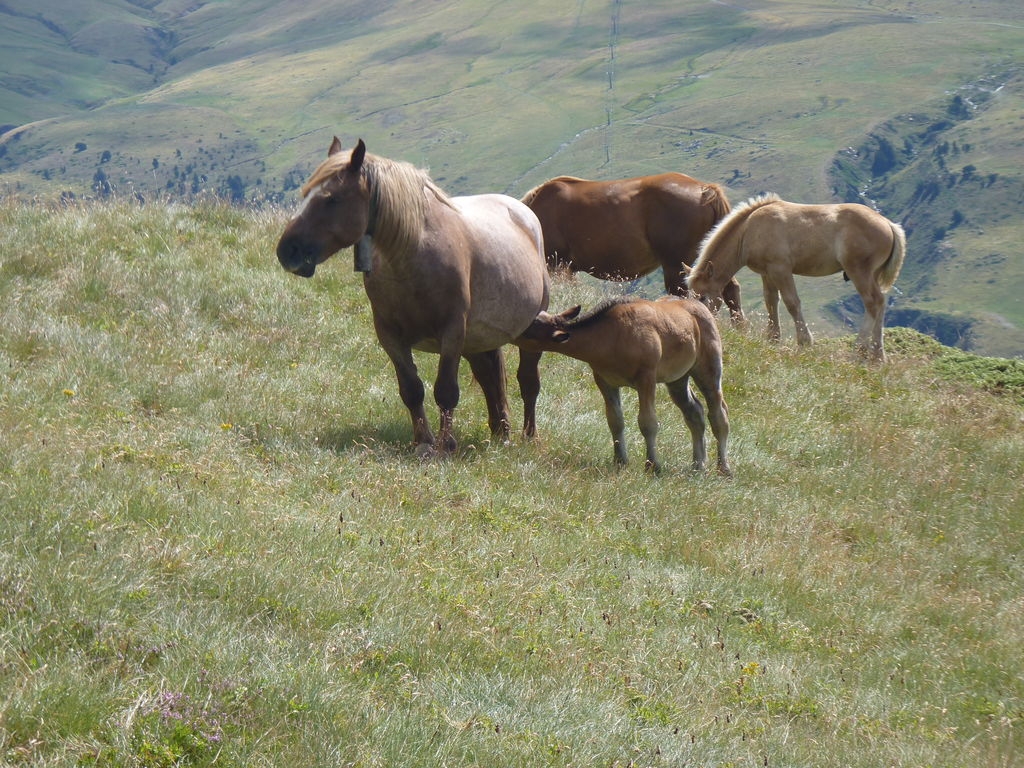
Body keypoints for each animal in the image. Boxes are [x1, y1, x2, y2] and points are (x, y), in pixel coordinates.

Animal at [276, 137, 550, 456]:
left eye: (331, 199)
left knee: (528, 382)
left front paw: (446, 445)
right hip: (478, 340)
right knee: (489, 378)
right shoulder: (389, 335)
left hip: (531, 331)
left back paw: (528, 436)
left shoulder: (452, 331)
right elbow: (411, 389)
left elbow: (446, 391)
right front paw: (423, 442)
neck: (413, 257)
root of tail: (524, 212)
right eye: (306, 194)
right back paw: (500, 432)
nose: (287, 251)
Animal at [515, 296, 730, 475]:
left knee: (718, 413)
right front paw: (620, 461)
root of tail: (702, 306)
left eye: (530, 329)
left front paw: (652, 465)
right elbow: (615, 421)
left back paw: (724, 468)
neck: (610, 339)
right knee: (695, 412)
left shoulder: (646, 377)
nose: (513, 331)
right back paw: (698, 465)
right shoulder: (604, 380)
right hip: (677, 379)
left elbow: (648, 422)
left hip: (708, 369)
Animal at [687, 193, 906, 361]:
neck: (749, 229)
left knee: (872, 302)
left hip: (859, 271)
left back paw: (858, 352)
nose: (700, 324)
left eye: (703, 297)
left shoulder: (781, 270)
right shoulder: (767, 273)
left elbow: (792, 303)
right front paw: (773, 339)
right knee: (881, 303)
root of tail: (888, 224)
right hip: (873, 275)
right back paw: (878, 356)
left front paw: (804, 342)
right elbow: (770, 301)